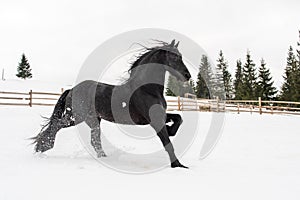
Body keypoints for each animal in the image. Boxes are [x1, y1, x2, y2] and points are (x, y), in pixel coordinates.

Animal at [32, 39, 190, 168]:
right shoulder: (155, 120)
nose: (187, 76)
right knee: (57, 126)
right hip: (76, 117)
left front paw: (171, 130)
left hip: (92, 120)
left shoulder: (160, 115)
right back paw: (43, 146)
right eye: (174, 57)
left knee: (94, 140)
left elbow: (179, 119)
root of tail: (72, 89)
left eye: (181, 56)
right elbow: (167, 143)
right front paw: (178, 165)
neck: (147, 89)